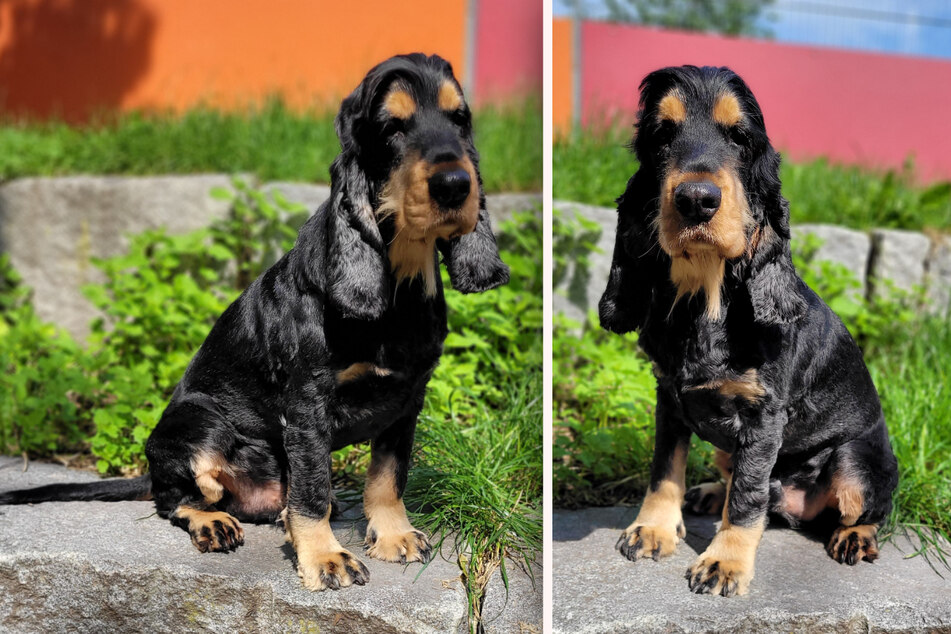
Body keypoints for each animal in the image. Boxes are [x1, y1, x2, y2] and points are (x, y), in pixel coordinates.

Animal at [0, 51, 510, 592]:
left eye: (460, 119)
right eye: (392, 127)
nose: (456, 185)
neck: (399, 284)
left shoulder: (407, 398)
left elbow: (389, 475)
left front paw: (394, 535)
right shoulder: (308, 404)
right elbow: (311, 490)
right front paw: (326, 558)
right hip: (198, 422)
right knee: (177, 498)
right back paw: (213, 522)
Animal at [604, 66, 900, 596]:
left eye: (740, 137)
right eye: (662, 135)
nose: (696, 200)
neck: (704, 298)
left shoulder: (763, 417)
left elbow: (746, 497)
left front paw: (726, 562)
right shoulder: (669, 397)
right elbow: (664, 469)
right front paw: (653, 528)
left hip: (855, 463)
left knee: (865, 508)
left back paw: (854, 537)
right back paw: (706, 493)